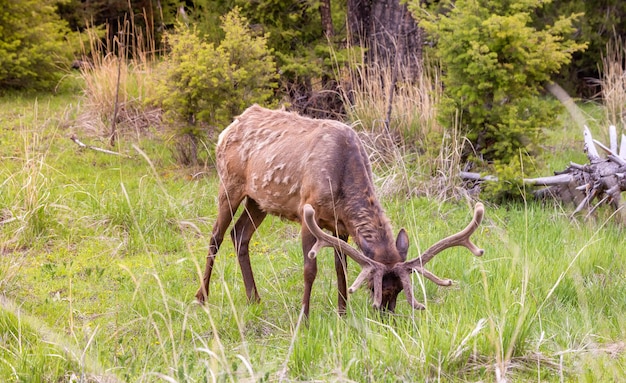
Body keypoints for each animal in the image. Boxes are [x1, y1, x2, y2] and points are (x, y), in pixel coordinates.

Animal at [195, 104, 482, 316]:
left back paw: (253, 298)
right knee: (215, 237)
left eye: (401, 289)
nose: (387, 317)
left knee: (240, 235)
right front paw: (305, 317)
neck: (343, 177)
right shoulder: (307, 214)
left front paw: (343, 312)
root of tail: (228, 128)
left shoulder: (340, 225)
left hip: (259, 201)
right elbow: (310, 270)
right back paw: (202, 297)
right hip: (229, 184)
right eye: (374, 288)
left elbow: (340, 267)